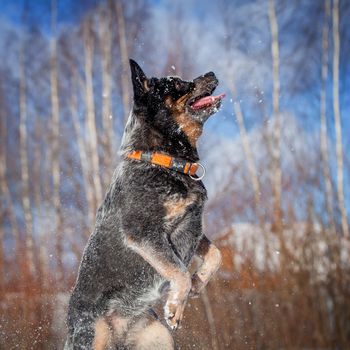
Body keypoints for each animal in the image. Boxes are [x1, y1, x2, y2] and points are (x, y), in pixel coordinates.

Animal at [65, 58, 224, 348]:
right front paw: (175, 306)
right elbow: (179, 271)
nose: (211, 72)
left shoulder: (192, 224)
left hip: (157, 338)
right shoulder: (143, 232)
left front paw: (198, 282)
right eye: (176, 83)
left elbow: (216, 254)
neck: (165, 161)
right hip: (94, 336)